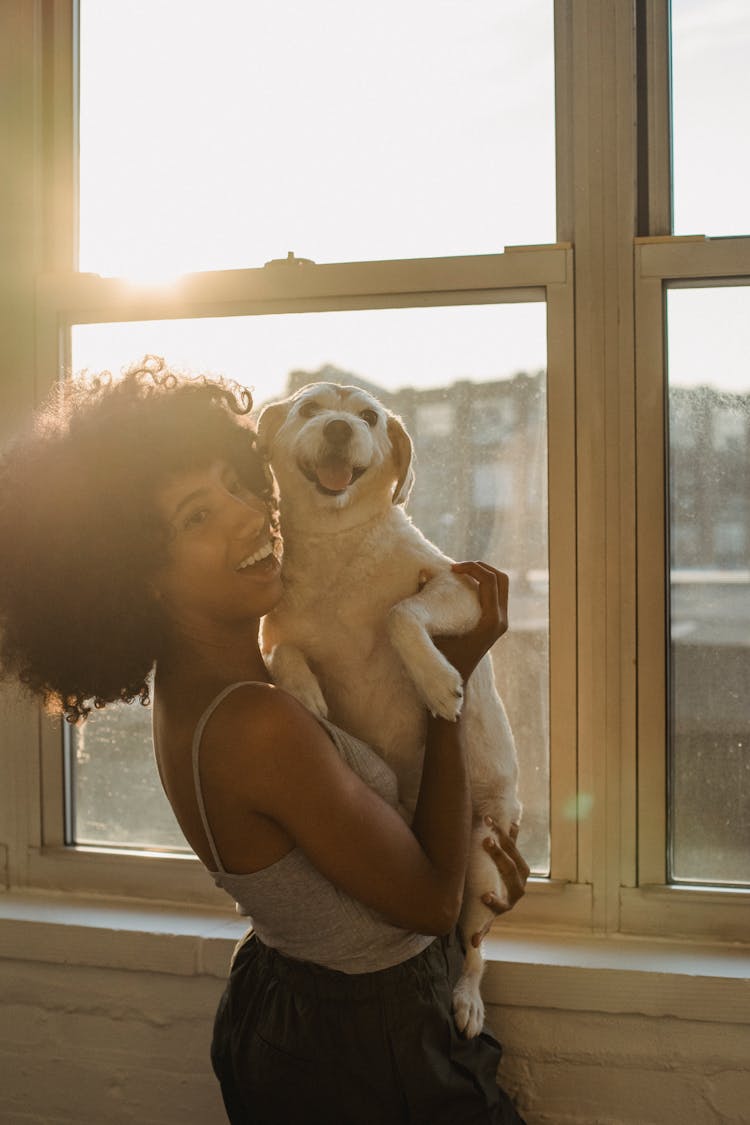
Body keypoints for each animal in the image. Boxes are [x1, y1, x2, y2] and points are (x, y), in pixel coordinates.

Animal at [255, 382, 519, 1039]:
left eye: (370, 417)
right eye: (309, 409)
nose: (340, 428)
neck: (336, 547)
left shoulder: (460, 588)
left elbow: (401, 614)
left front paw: (439, 683)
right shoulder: (271, 632)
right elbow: (285, 653)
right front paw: (304, 694)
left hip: (483, 854)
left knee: (476, 950)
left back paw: (468, 1001)